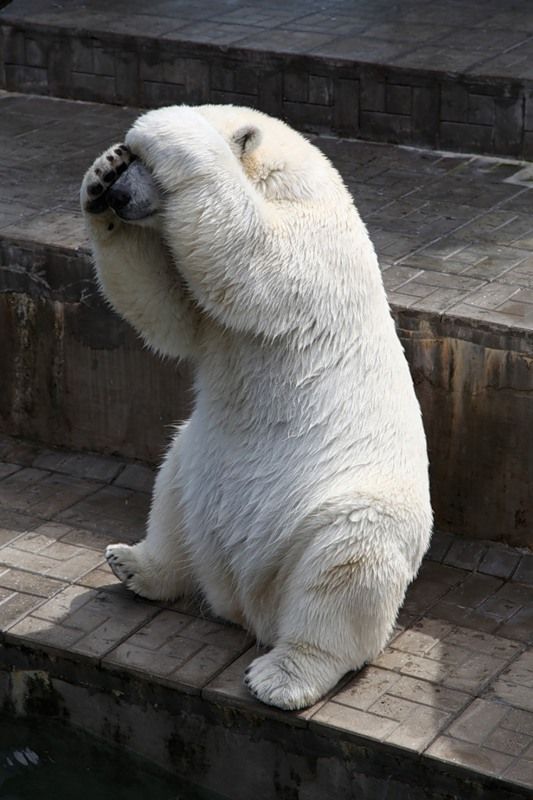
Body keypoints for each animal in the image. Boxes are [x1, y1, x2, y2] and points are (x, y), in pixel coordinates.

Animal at [80, 105, 432, 711]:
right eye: (130, 162)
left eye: (148, 163)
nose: (120, 197)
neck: (286, 178)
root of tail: (246, 602)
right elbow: (171, 313)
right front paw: (97, 174)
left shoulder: (317, 239)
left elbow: (253, 258)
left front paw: (172, 130)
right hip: (202, 464)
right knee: (172, 481)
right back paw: (135, 562)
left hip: (344, 507)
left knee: (347, 566)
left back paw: (285, 676)